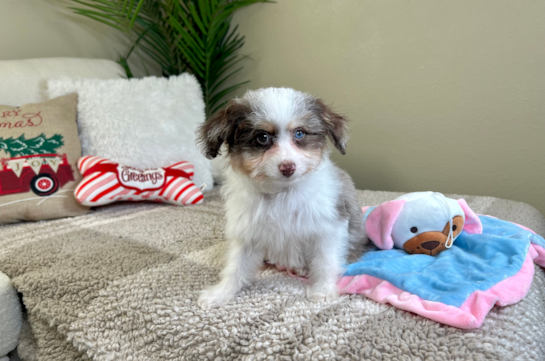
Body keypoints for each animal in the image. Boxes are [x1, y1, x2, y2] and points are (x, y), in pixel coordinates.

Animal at [196, 88, 366, 310]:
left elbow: (325, 262)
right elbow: (236, 266)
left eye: (299, 133)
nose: (288, 167)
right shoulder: (247, 232)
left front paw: (323, 291)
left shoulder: (328, 228)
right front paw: (221, 293)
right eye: (263, 137)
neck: (281, 194)